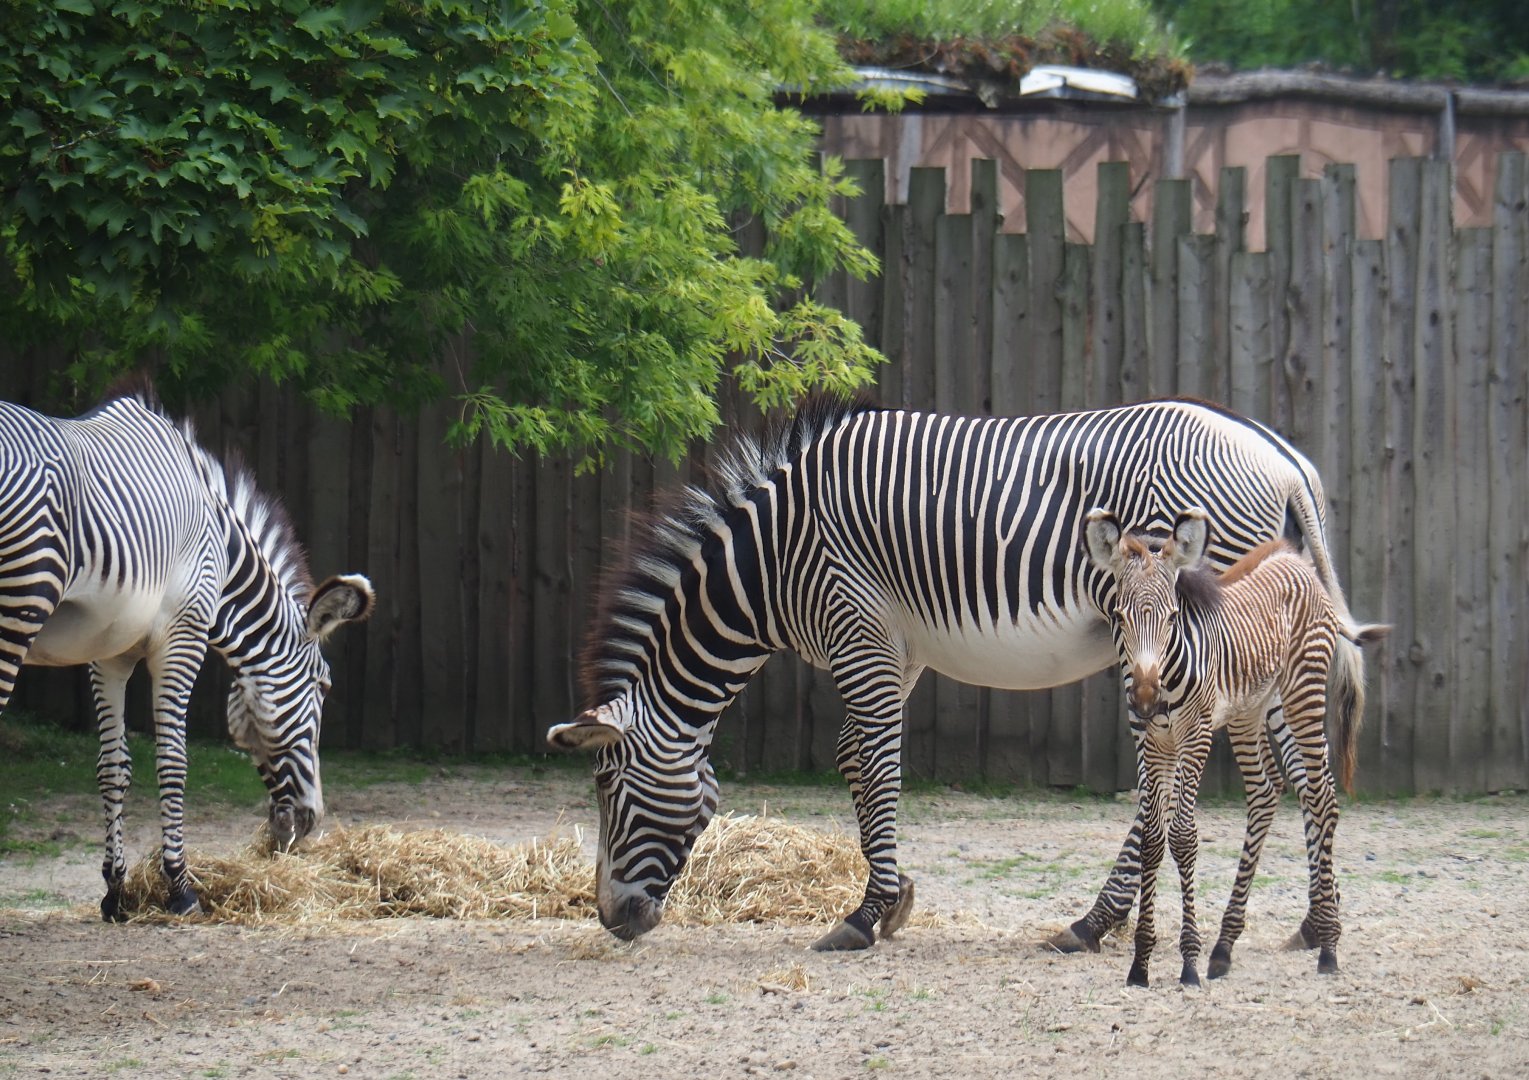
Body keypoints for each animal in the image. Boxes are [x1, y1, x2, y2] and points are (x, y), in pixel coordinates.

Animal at [0, 382, 374, 920]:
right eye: (323, 686)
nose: (306, 824)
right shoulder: (183, 636)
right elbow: (172, 761)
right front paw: (179, 887)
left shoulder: (107, 655)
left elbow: (113, 767)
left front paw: (116, 892)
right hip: (20, 606)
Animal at [547, 396, 1365, 951]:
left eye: (608, 789)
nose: (612, 920)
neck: (771, 562)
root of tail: (1279, 460)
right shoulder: (895, 648)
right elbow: (856, 758)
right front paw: (895, 898)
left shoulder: (859, 631)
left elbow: (878, 763)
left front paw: (864, 915)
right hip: (1258, 646)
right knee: (1302, 773)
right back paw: (1314, 924)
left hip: (1184, 641)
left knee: (1166, 783)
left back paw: (1094, 922)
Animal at [1083, 507, 1387, 985]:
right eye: (1118, 615)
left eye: (1172, 617)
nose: (1146, 698)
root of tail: (1294, 558)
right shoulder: (1153, 743)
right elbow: (1151, 839)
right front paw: (1141, 963)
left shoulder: (1196, 735)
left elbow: (1183, 836)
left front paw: (1188, 962)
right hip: (1250, 710)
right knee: (1266, 792)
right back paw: (1225, 946)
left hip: (1302, 695)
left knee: (1321, 796)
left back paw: (1328, 946)